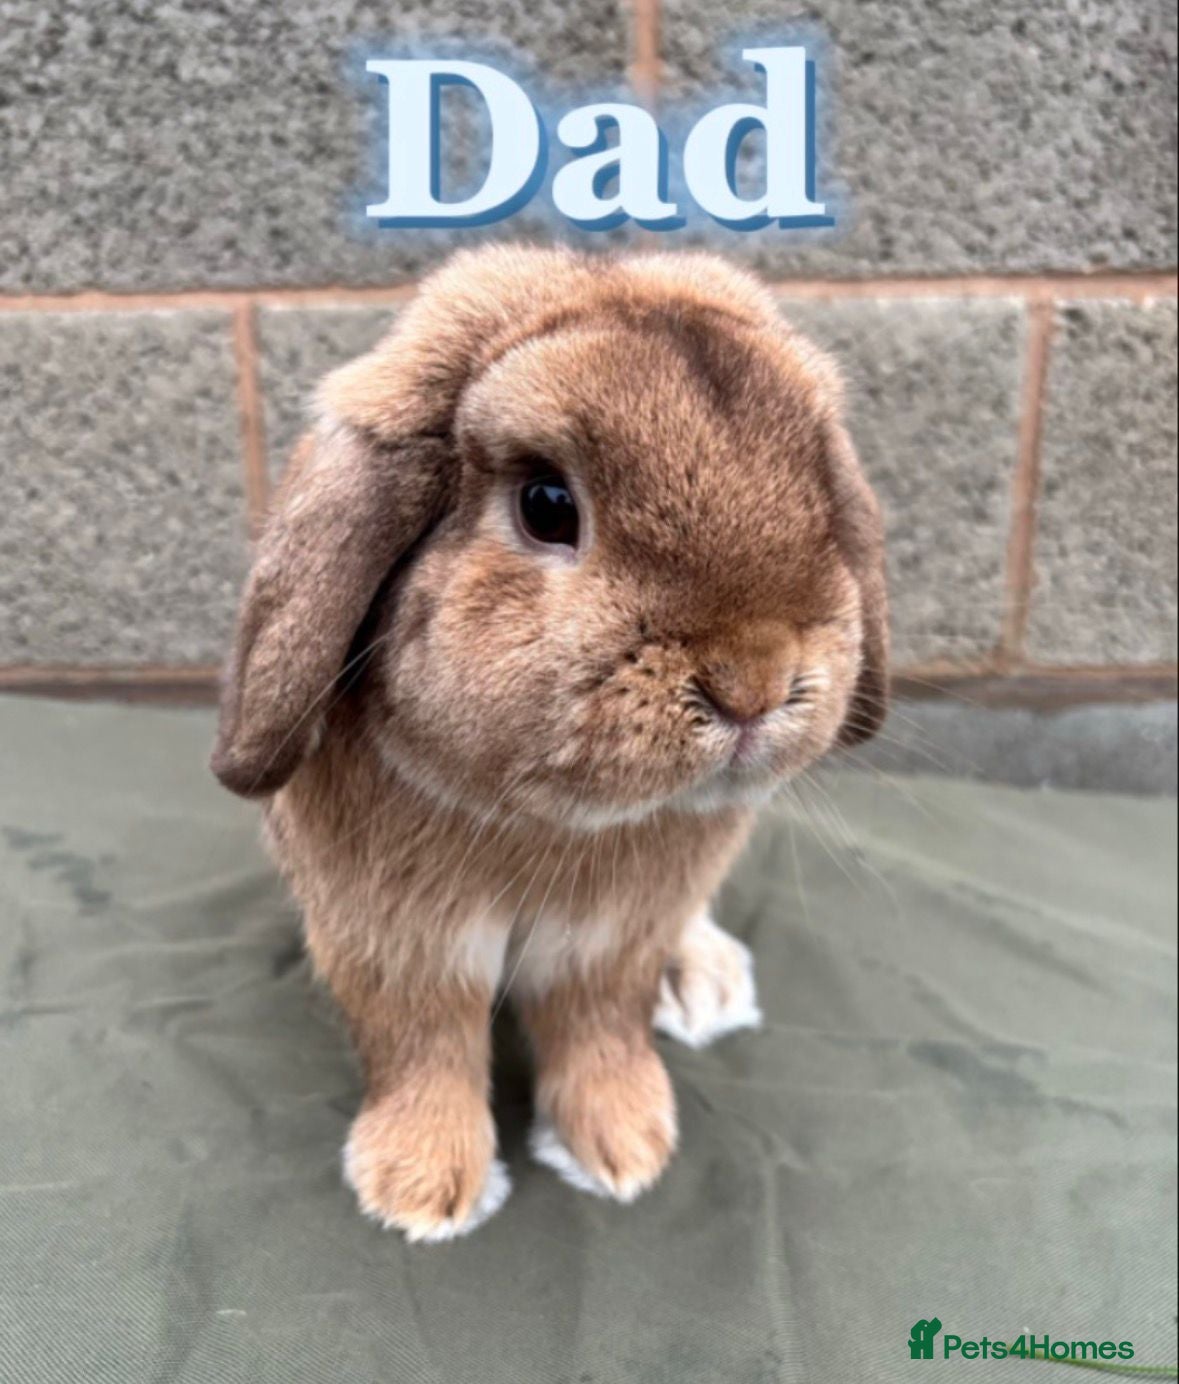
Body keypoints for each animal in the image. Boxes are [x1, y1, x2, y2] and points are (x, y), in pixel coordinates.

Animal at [211, 244, 888, 1242]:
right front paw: (421, 1191)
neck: (547, 824)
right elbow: (423, 1048)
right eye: (545, 505)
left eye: (821, 499)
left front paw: (625, 1150)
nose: (753, 683)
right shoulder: (398, 943)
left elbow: (598, 1031)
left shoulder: (611, 944)